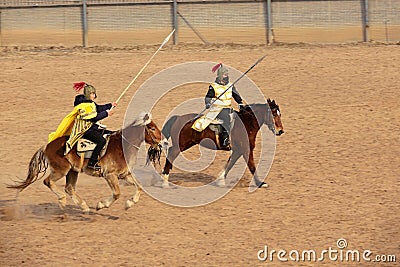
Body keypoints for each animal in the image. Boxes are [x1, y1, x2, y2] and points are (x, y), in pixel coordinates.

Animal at [7, 112, 162, 213]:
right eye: (153, 128)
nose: (163, 142)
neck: (121, 146)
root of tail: (47, 146)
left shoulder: (124, 175)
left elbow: (139, 186)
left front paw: (129, 203)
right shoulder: (110, 175)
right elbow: (117, 193)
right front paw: (101, 205)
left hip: (73, 171)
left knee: (69, 188)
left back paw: (84, 206)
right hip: (61, 170)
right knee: (48, 182)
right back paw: (62, 200)